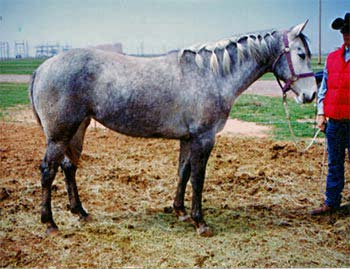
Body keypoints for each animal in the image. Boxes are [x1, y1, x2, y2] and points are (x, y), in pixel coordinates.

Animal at [30, 21, 316, 236]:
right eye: (301, 54)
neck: (211, 75)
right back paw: (50, 223)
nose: (311, 95)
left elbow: (183, 172)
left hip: (77, 129)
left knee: (69, 167)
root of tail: (42, 68)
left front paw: (180, 211)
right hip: (59, 135)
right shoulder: (204, 138)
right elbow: (198, 178)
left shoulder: (188, 138)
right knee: (48, 171)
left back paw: (80, 212)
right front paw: (200, 222)